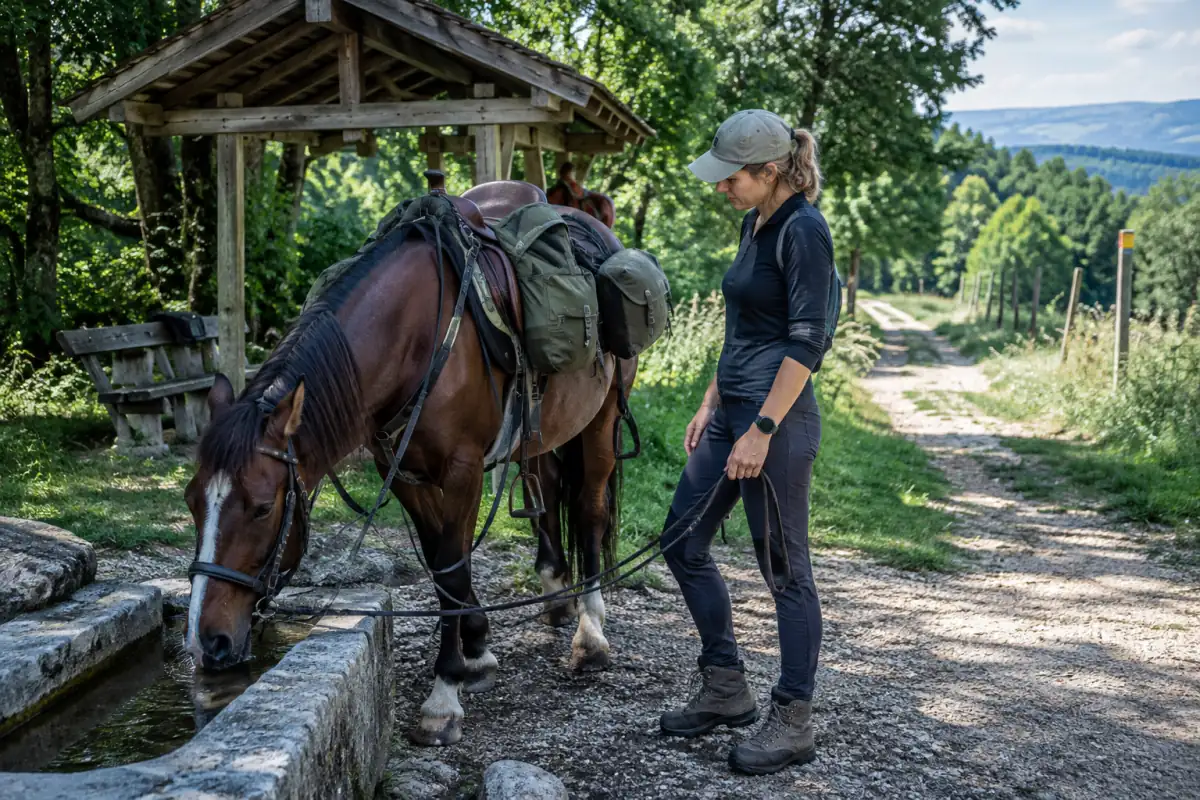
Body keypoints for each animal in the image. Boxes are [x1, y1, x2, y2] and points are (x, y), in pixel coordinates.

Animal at [183, 180, 636, 747]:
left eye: (264, 508)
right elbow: (443, 565)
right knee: (548, 488)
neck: (415, 335)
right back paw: (557, 594)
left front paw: (444, 697)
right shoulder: (401, 473)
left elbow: (452, 565)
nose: (206, 642)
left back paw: (591, 634)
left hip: (603, 419)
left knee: (590, 510)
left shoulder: (462, 471)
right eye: (191, 502)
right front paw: (476, 651)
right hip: (546, 431)